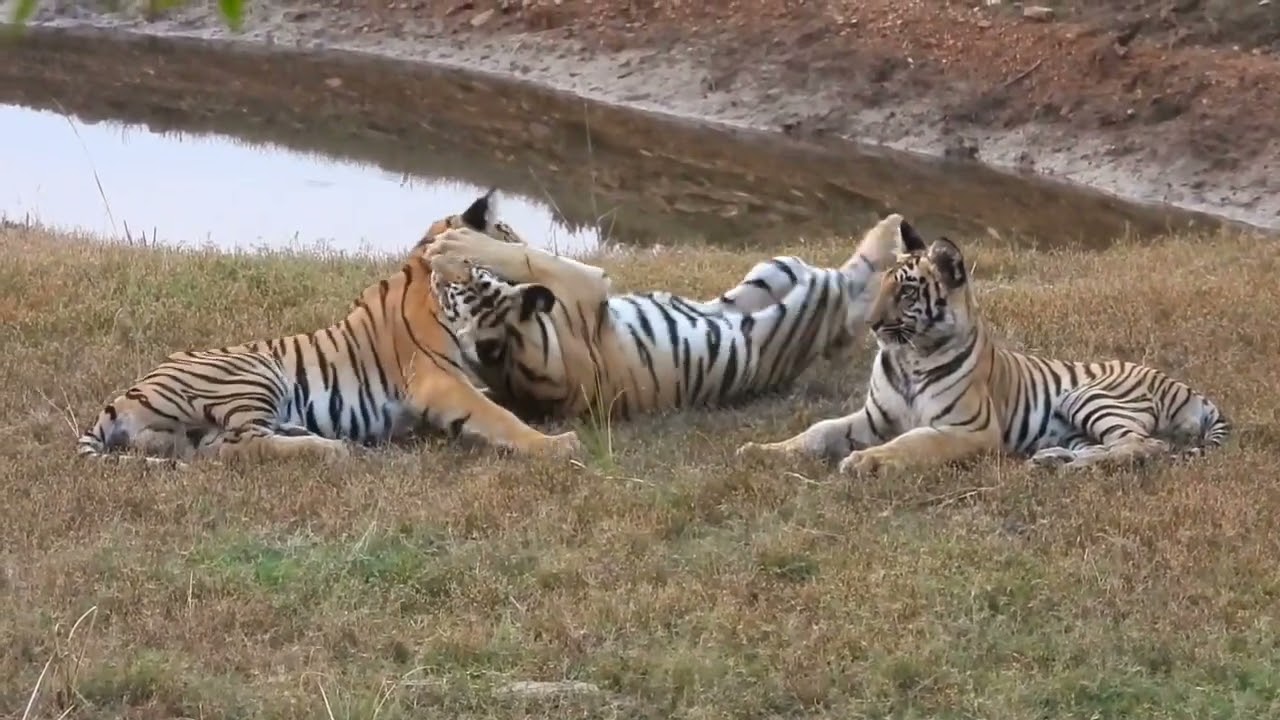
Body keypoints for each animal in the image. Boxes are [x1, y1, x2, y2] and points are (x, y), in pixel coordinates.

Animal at [74, 197, 584, 466]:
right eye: (507, 231)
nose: (529, 251)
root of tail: (127, 394)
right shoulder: (440, 380)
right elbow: (497, 416)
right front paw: (557, 444)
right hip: (253, 373)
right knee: (243, 446)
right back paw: (333, 448)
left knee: (219, 445)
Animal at [420, 211, 912, 422]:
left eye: (448, 290)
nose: (432, 271)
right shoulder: (583, 284)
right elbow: (529, 256)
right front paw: (458, 243)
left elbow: (523, 252)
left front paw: (458, 240)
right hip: (811, 292)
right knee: (849, 288)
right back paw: (890, 227)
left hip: (773, 270)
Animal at [735, 226, 1231, 473]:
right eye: (883, 284)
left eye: (906, 292)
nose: (871, 324)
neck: (909, 356)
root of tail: (1185, 387)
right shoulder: (872, 417)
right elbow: (817, 431)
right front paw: (761, 451)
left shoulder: (967, 429)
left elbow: (912, 443)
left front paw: (866, 461)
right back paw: (1053, 461)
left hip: (1089, 397)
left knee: (1145, 445)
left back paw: (1069, 467)